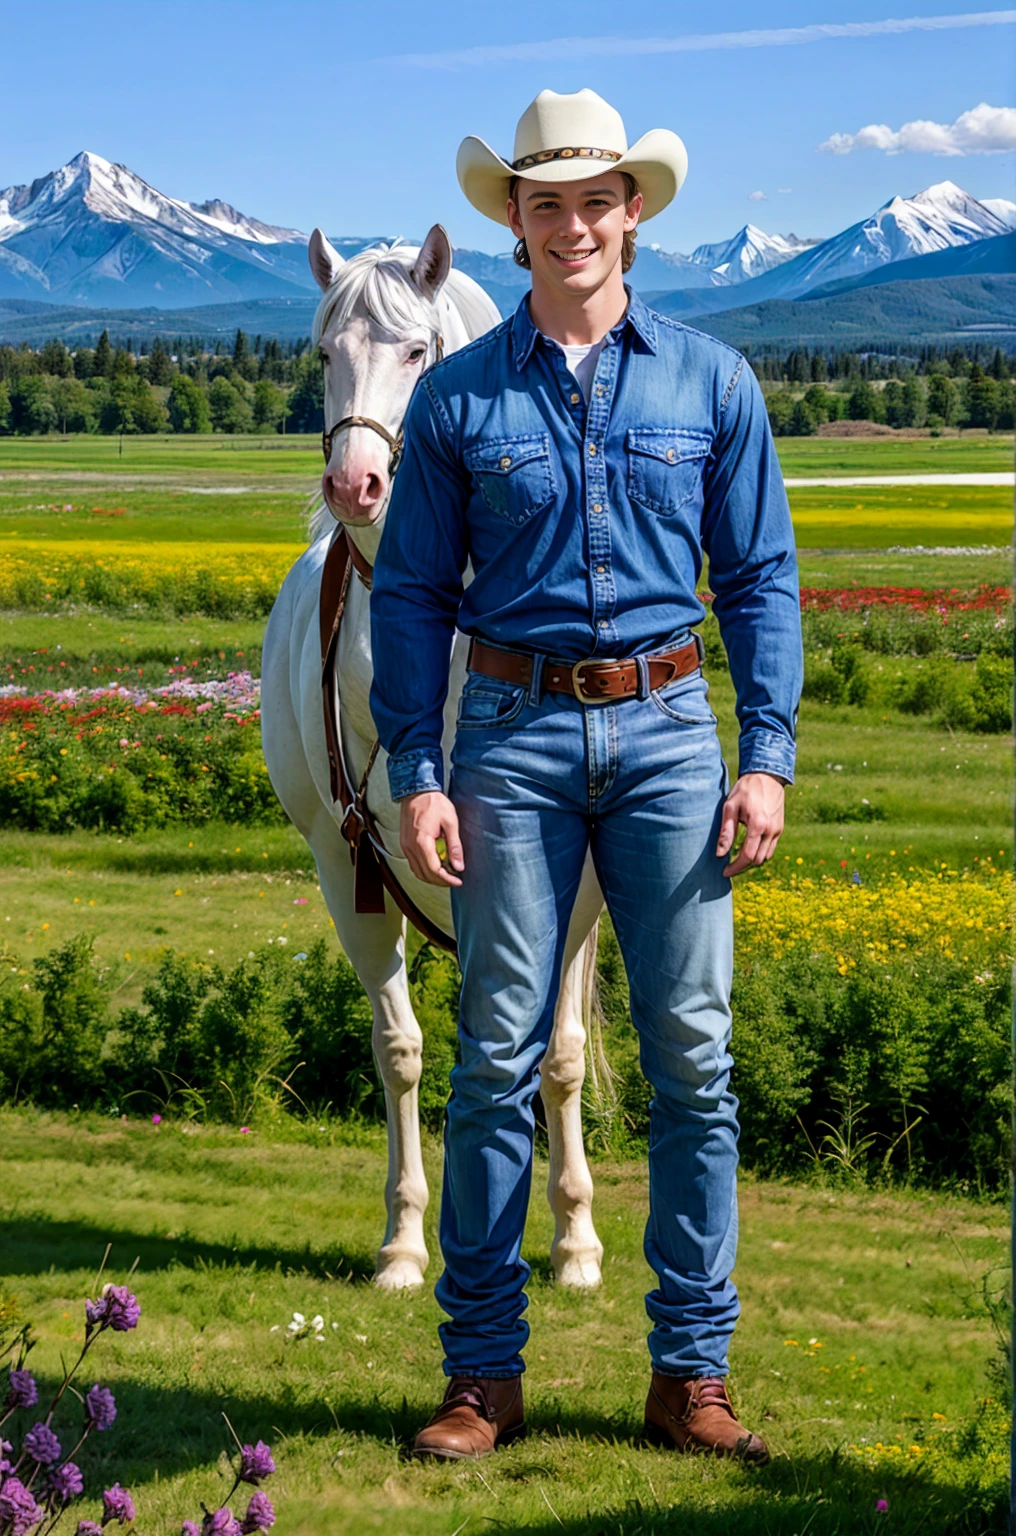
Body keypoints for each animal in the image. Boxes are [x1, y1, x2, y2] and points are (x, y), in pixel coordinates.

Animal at [265, 222, 605, 1290]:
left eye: (419, 352)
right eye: (322, 354)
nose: (355, 485)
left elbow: (557, 1056)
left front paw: (574, 1242)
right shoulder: (349, 870)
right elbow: (402, 1048)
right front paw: (407, 1239)